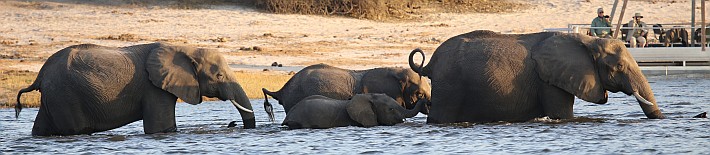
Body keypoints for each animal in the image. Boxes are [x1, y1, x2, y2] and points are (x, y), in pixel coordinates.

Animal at [15, 42, 256, 136]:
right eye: (219, 76)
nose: (233, 124)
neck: (185, 48)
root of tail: (40, 75)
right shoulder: (154, 89)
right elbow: (162, 128)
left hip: (55, 97)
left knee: (41, 128)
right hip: (66, 96)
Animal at [412, 30, 668, 124]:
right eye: (619, 66)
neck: (586, 40)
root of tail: (431, 64)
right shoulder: (549, 80)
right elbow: (562, 115)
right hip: (449, 86)